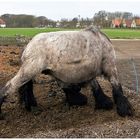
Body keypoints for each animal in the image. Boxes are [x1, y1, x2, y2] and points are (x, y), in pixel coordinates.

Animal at [0, 26, 133, 117]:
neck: (101, 41)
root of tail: (28, 46)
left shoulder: (89, 73)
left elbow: (96, 86)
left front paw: (103, 102)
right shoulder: (110, 68)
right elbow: (116, 87)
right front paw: (124, 108)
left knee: (26, 88)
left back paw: (31, 106)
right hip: (29, 70)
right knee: (9, 87)